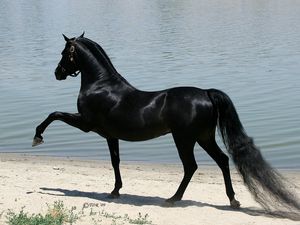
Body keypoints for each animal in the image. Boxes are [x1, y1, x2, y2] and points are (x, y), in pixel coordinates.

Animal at [32, 33, 300, 211]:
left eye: (64, 53)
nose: (57, 73)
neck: (101, 85)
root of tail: (206, 93)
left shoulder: (87, 124)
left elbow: (54, 114)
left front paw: (37, 137)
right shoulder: (110, 136)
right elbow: (115, 161)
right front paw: (116, 191)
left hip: (184, 139)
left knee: (191, 166)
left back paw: (172, 199)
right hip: (204, 138)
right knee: (223, 161)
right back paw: (232, 200)